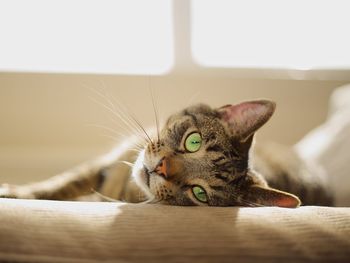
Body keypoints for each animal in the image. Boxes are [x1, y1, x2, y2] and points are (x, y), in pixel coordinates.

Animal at [0, 100, 334, 207]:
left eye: (199, 193)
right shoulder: (105, 161)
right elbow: (60, 183)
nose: (160, 168)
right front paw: (15, 192)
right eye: (193, 142)